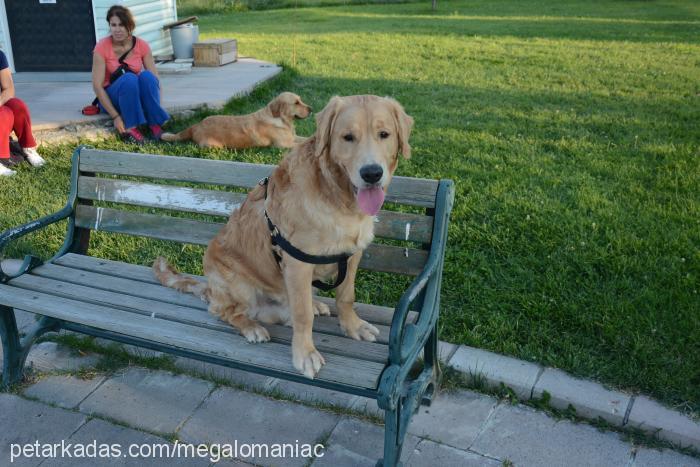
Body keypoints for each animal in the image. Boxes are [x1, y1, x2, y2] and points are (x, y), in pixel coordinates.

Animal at [161, 92, 312, 149]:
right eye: (296, 103)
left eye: (301, 100)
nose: (311, 109)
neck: (281, 119)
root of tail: (197, 125)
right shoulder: (282, 145)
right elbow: (300, 145)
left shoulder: (293, 137)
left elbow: (306, 139)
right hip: (214, 146)